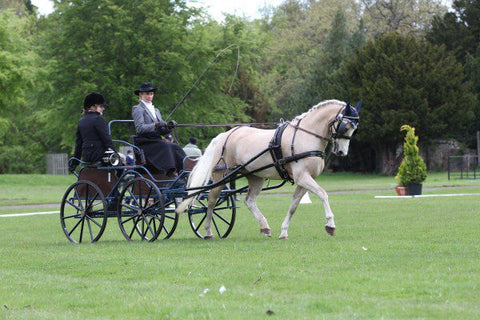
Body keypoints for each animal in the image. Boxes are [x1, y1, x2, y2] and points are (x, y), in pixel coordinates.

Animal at [177, 99, 360, 239]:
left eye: (355, 128)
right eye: (345, 126)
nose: (342, 152)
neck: (305, 136)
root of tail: (226, 134)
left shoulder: (304, 180)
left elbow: (294, 205)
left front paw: (284, 232)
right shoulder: (302, 177)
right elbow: (323, 194)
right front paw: (330, 225)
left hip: (255, 177)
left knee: (249, 201)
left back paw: (264, 227)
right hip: (221, 175)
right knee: (211, 200)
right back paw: (208, 231)